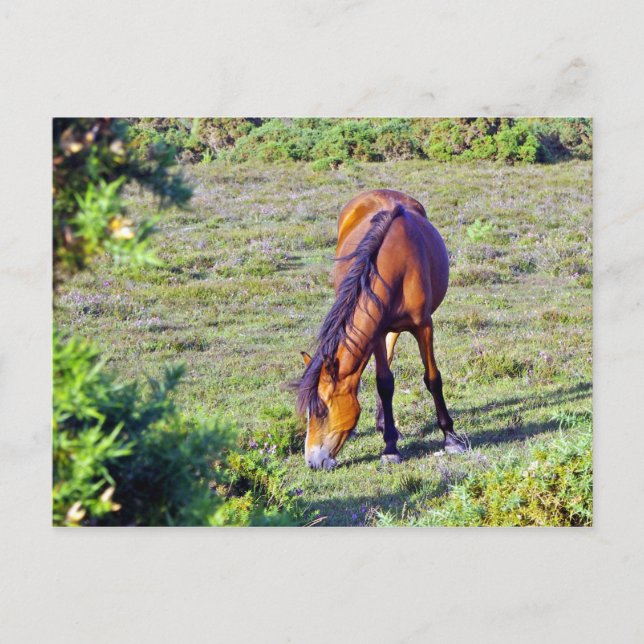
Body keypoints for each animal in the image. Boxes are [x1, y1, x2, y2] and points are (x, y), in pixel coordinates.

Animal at [297, 189, 467, 469]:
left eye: (320, 410)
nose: (312, 461)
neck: (395, 265)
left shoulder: (424, 326)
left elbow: (433, 378)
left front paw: (451, 438)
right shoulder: (375, 332)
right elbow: (384, 383)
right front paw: (390, 446)